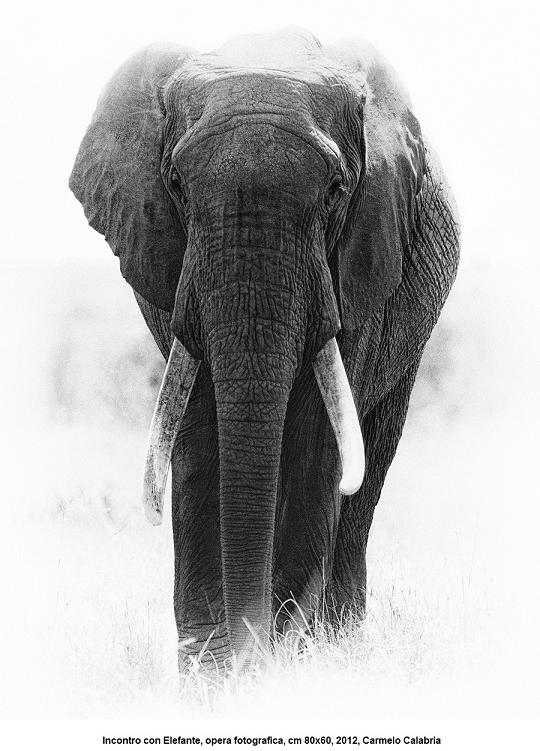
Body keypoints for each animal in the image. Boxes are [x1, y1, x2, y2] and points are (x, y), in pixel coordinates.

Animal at [69, 29, 460, 671]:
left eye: (336, 189)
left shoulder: (360, 254)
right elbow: (198, 430)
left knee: (366, 473)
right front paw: (211, 666)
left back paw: (336, 639)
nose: (250, 644)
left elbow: (316, 437)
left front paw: (278, 658)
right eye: (174, 184)